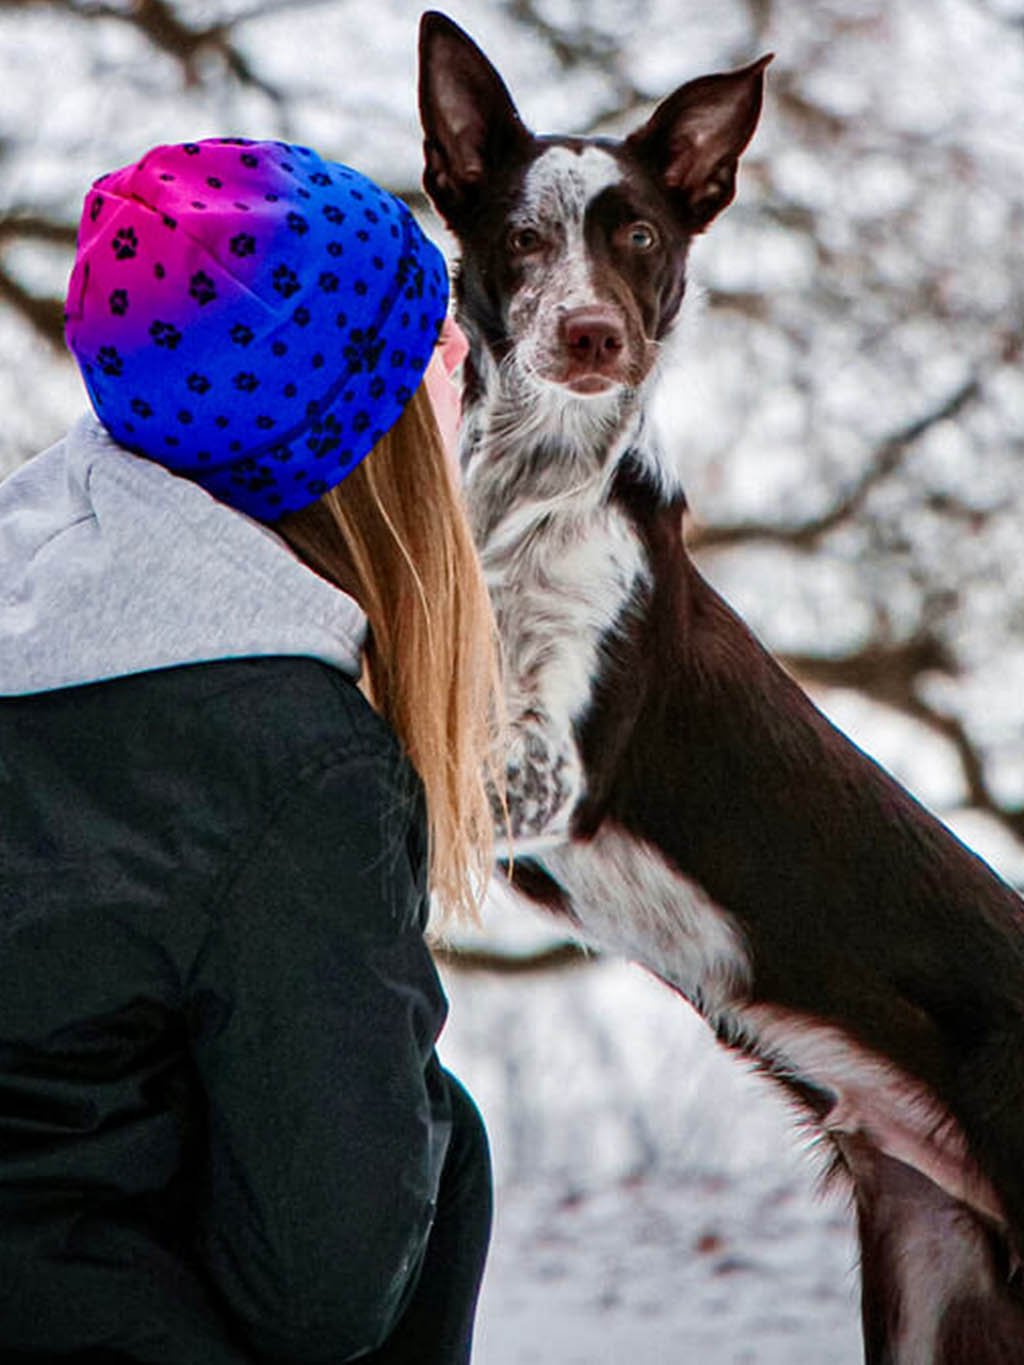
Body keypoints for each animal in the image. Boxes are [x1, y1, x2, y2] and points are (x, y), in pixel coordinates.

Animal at [417, 13, 1024, 1365]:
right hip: (936, 1280)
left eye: (639, 235)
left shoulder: (554, 774)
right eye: (522, 237)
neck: (531, 498)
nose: (593, 335)